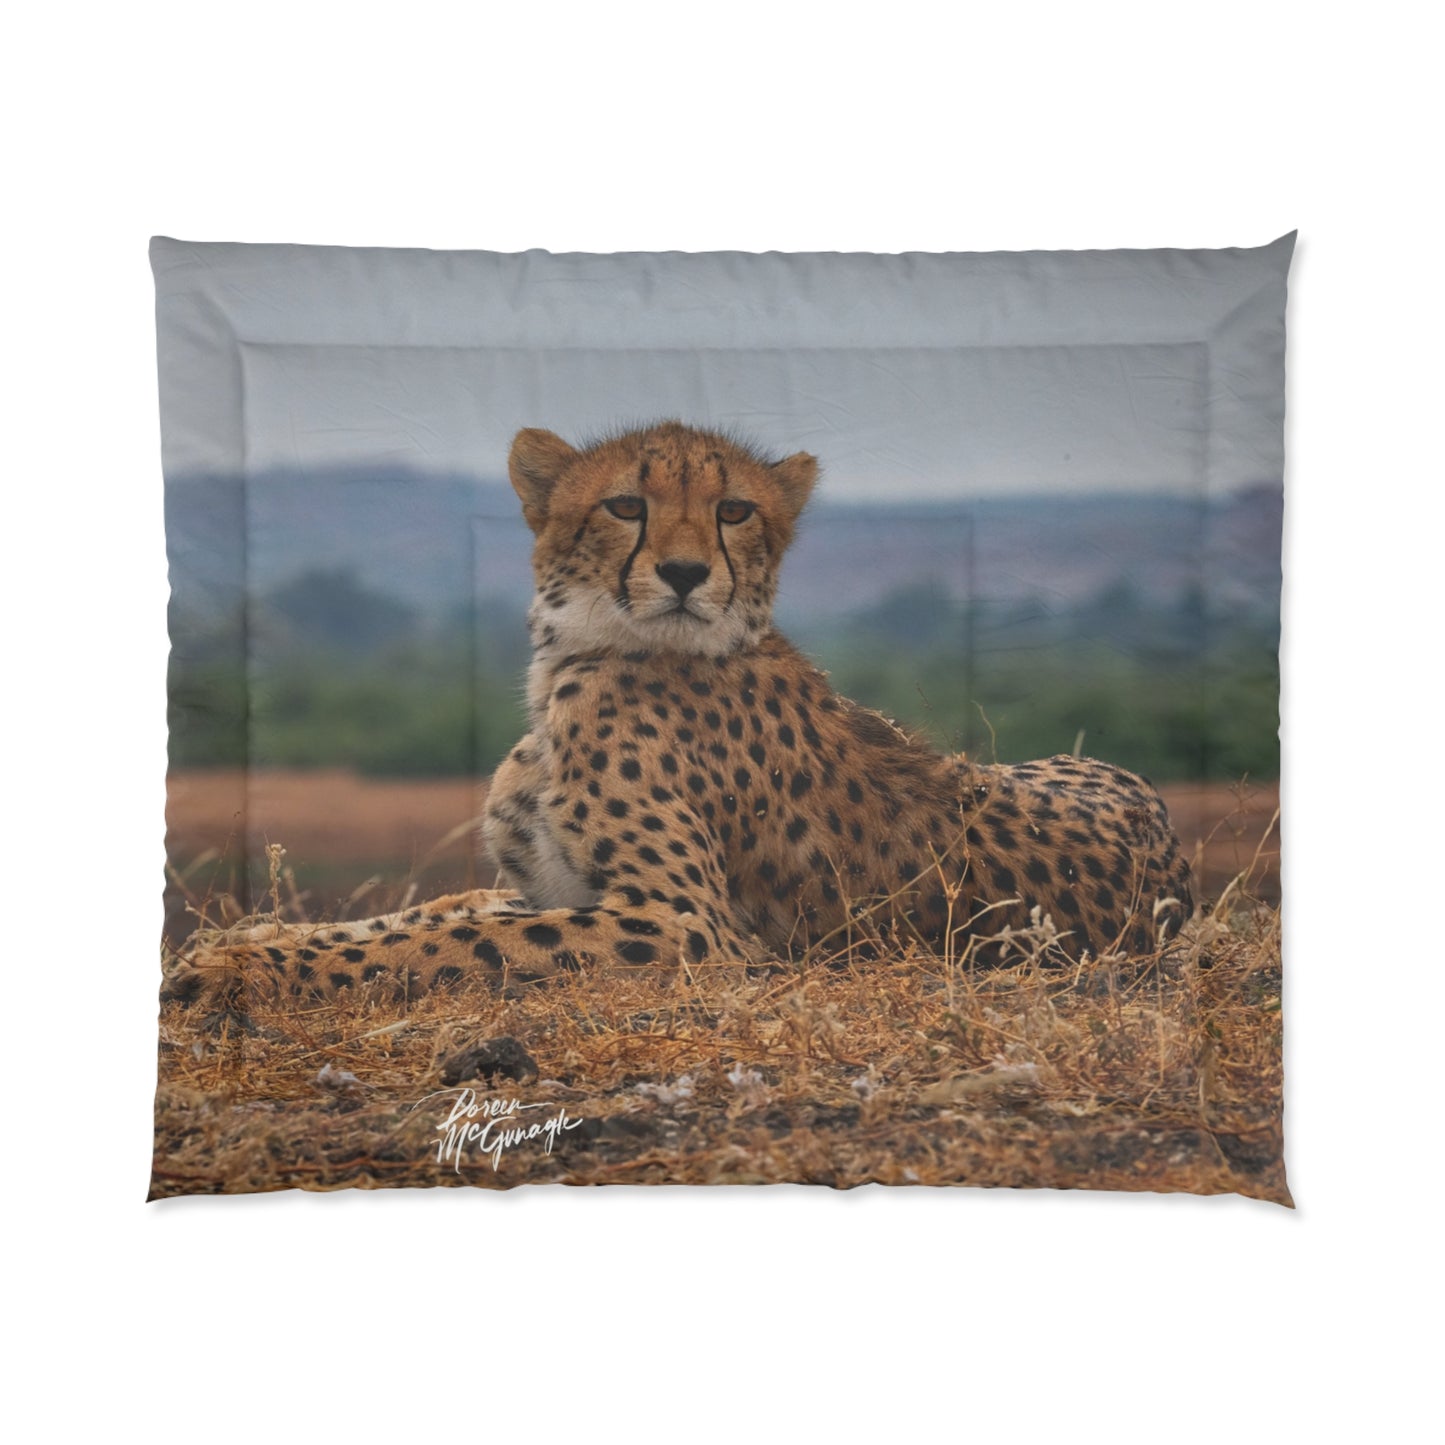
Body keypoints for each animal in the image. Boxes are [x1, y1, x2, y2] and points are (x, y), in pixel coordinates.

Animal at [162, 422, 1193, 1008]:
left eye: (734, 510)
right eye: (626, 504)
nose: (688, 571)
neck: (577, 657)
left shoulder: (686, 924)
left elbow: (450, 939)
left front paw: (238, 972)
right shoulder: (550, 884)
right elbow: (420, 916)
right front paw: (239, 942)